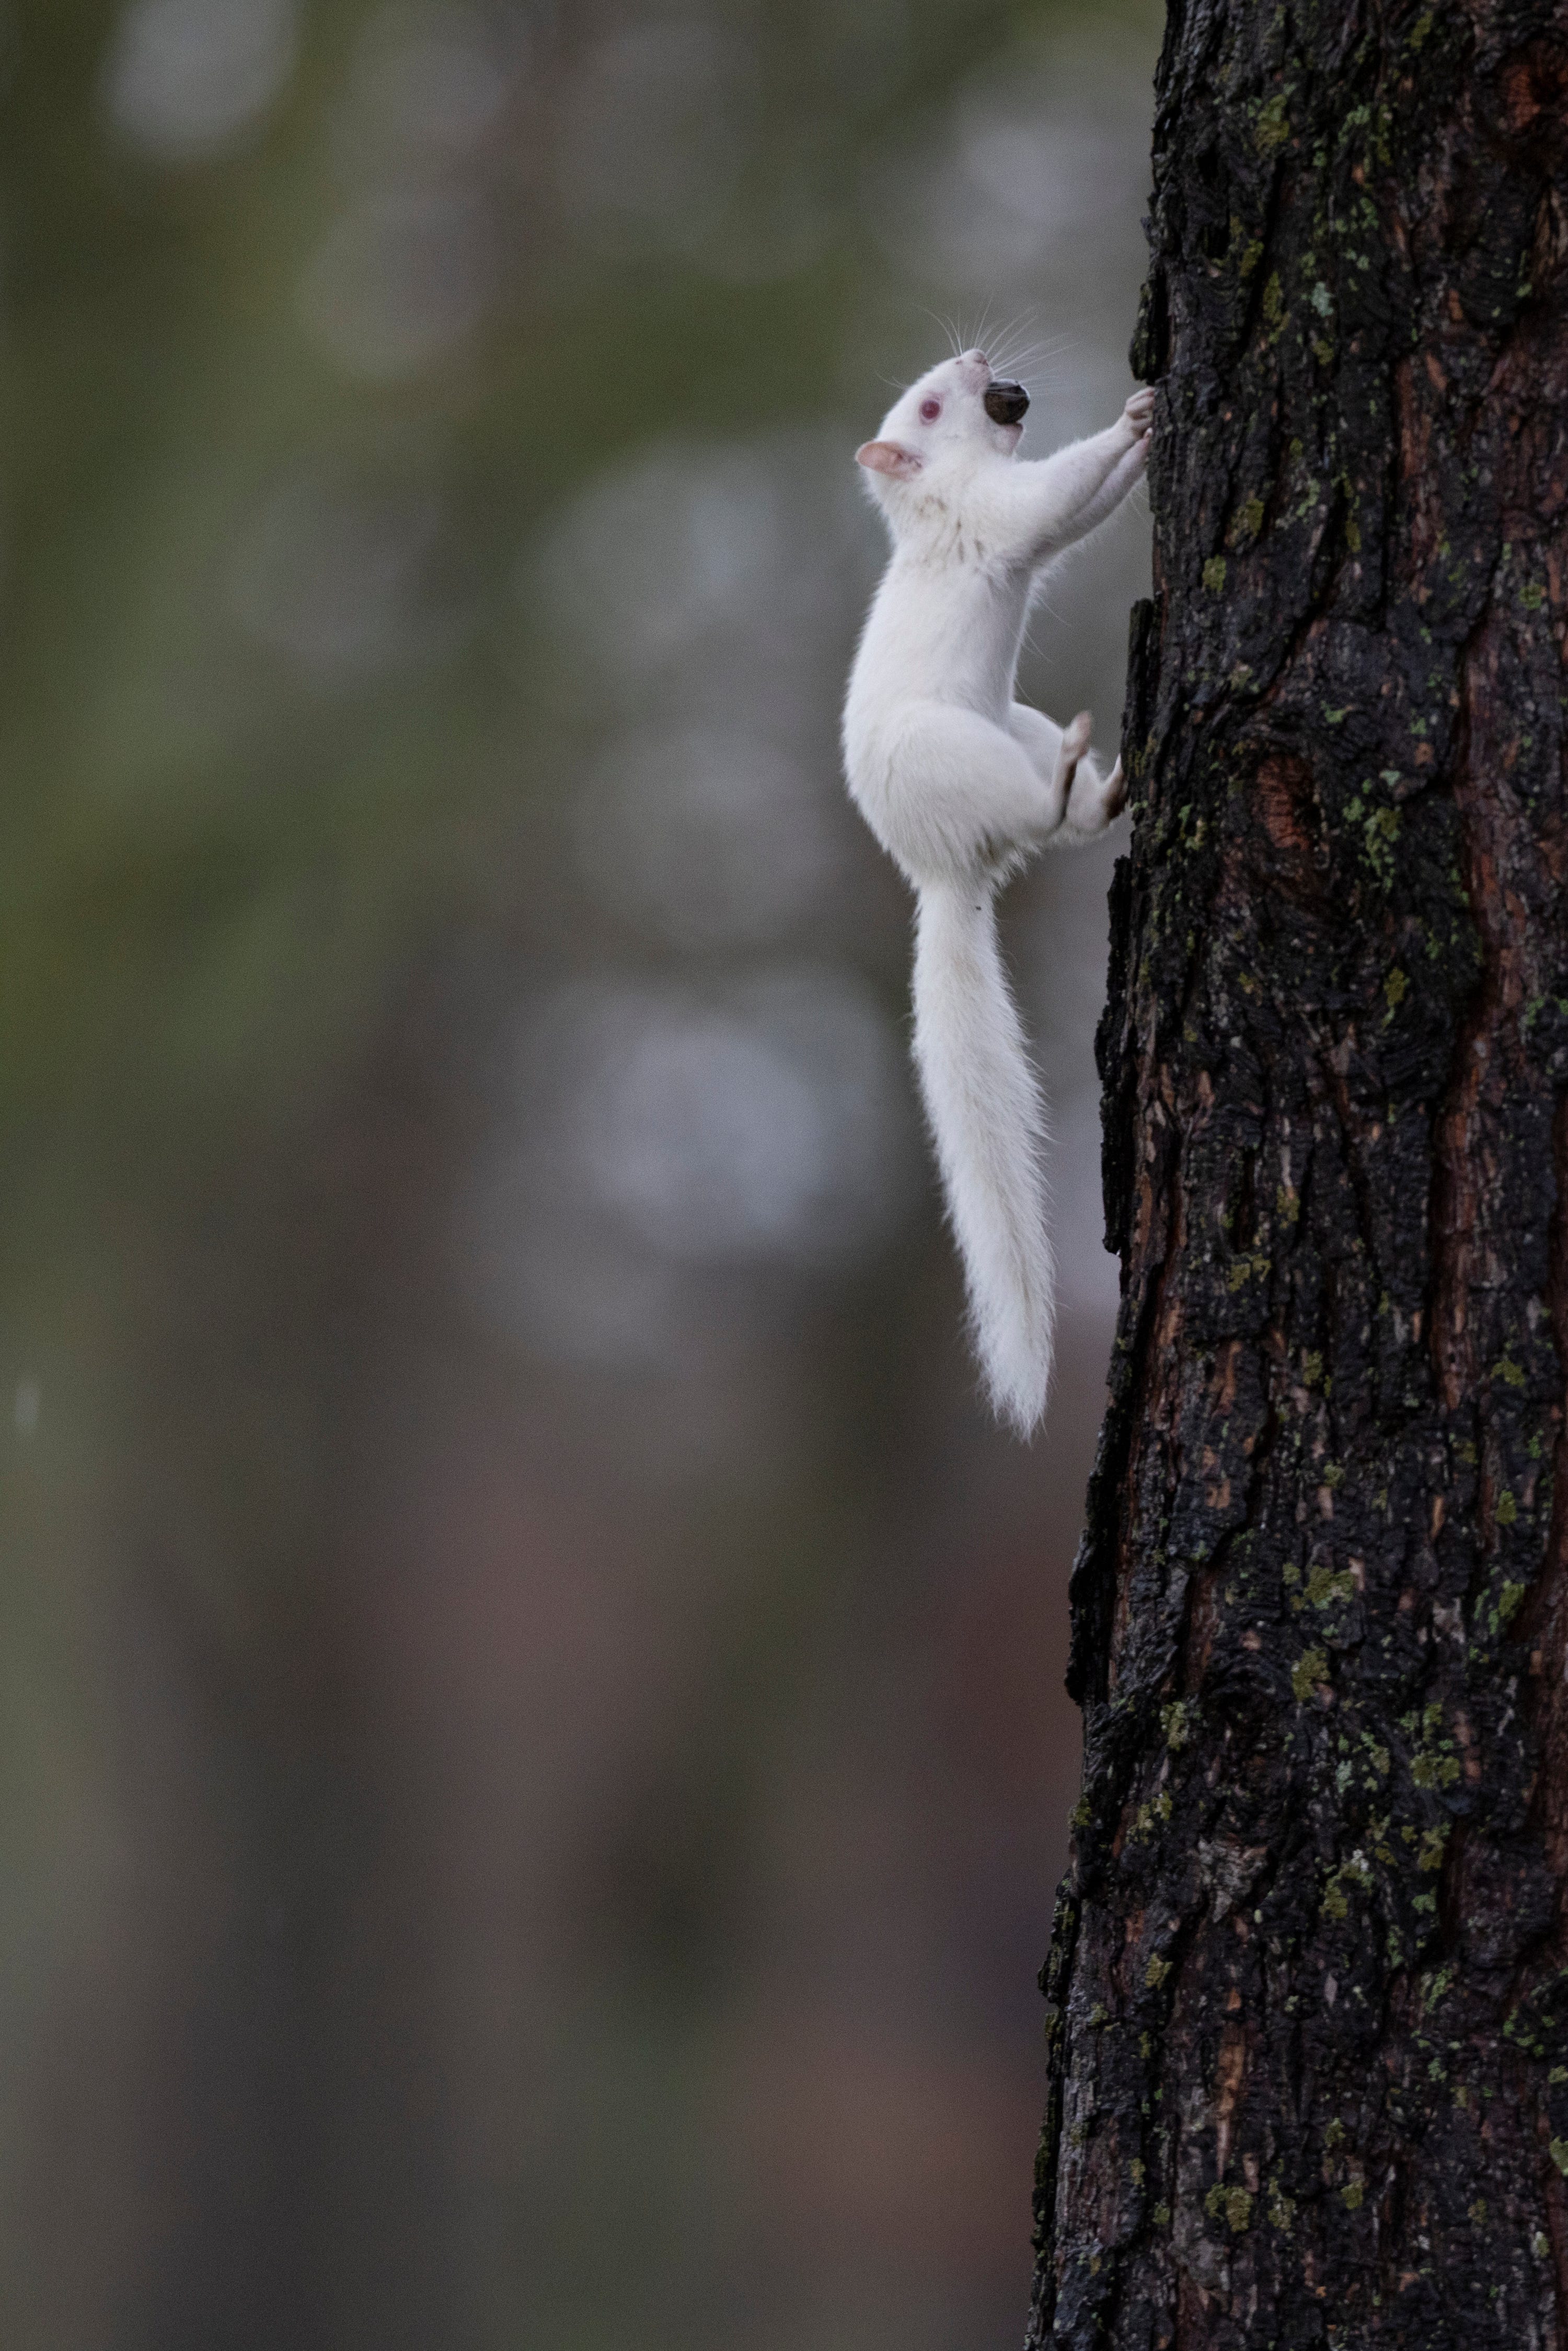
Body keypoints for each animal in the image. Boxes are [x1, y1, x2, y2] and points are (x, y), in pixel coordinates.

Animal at [841, 347, 1154, 1434]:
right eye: (932, 408)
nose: (979, 362)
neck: (935, 499)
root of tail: (943, 867)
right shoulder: (1000, 513)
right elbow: (1060, 496)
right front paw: (1137, 419)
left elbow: (1085, 509)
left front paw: (1144, 433)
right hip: (966, 752)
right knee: (1039, 817)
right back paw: (1069, 780)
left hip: (1011, 723)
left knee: (1066, 825)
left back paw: (1108, 781)